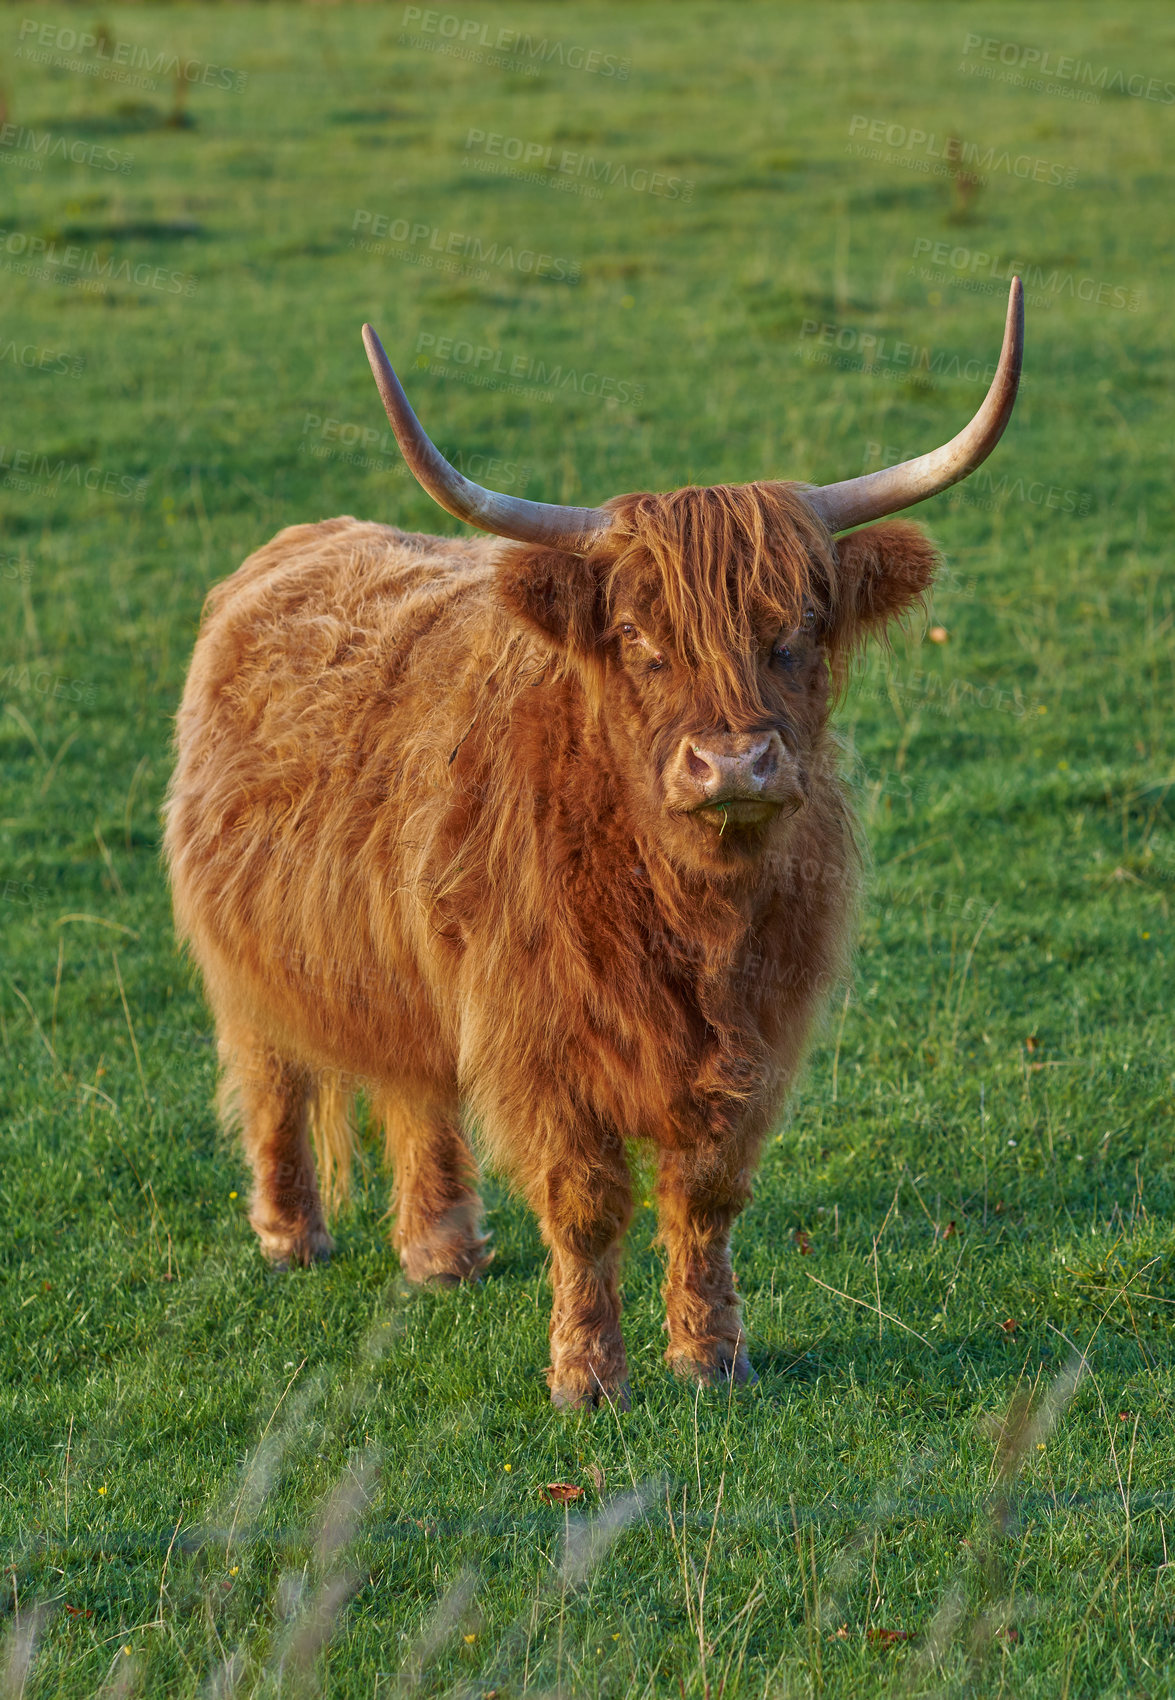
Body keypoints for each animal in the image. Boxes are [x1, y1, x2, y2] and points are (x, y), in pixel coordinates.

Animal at [165, 278, 1020, 1400]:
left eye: (794, 632)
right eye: (638, 642)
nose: (732, 764)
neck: (688, 911)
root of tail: (304, 538)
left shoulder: (756, 1035)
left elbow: (704, 1193)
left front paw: (710, 1356)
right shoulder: (539, 1037)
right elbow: (584, 1201)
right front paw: (586, 1376)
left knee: (418, 1083)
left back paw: (441, 1249)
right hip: (249, 955)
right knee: (271, 1074)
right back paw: (290, 1234)